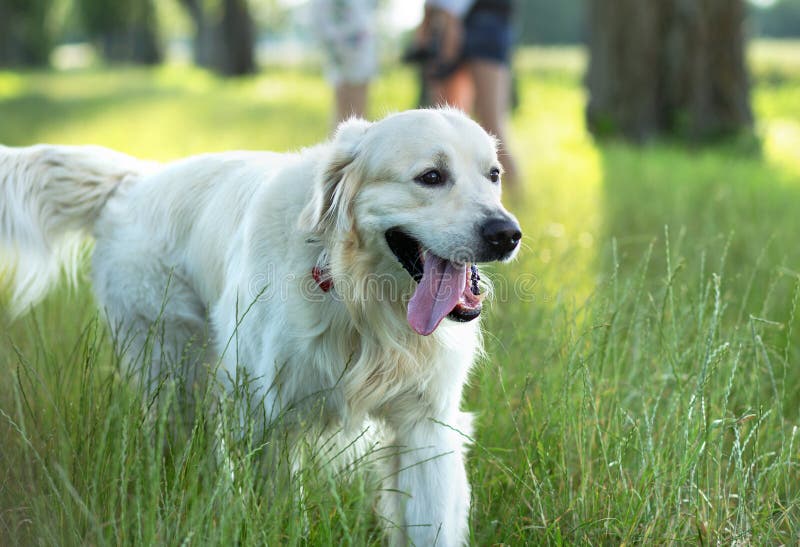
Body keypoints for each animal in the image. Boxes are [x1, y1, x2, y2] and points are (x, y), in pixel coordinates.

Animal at [0, 109, 520, 544]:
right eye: (431, 177)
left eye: (493, 175)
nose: (507, 234)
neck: (356, 300)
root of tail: (135, 180)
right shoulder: (270, 418)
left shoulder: (425, 425)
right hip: (175, 370)